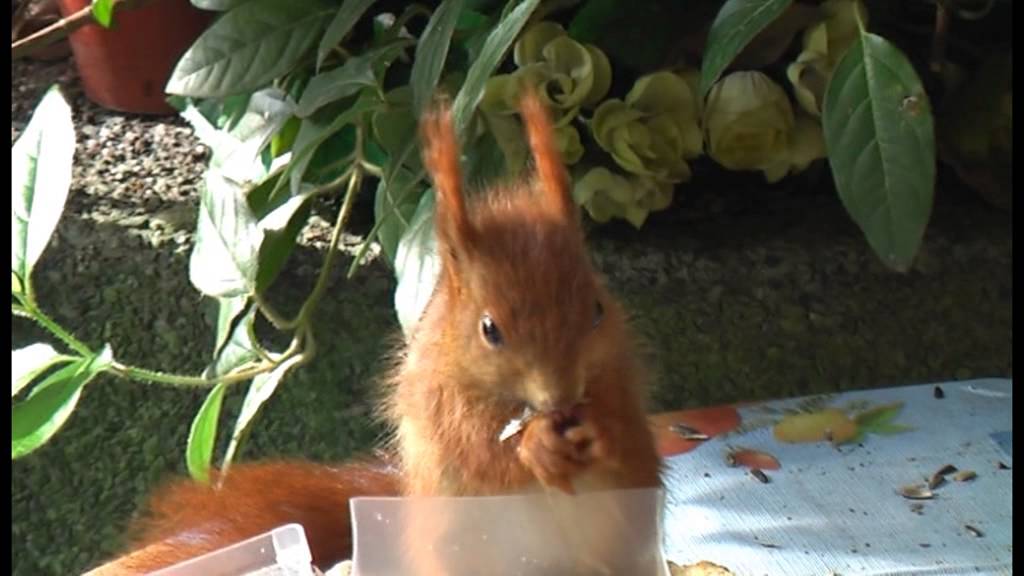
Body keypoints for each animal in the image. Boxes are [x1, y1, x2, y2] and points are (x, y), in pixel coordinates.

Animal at [86, 89, 664, 575]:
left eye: (597, 310)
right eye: (489, 329)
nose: (561, 398)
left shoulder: (618, 370)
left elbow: (627, 427)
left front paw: (598, 429)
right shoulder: (437, 400)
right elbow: (478, 446)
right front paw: (535, 446)